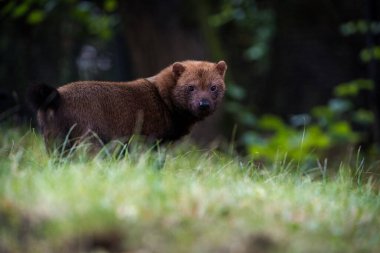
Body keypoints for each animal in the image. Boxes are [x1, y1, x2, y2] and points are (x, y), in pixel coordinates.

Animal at [29, 60, 229, 151]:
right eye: (191, 87)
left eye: (213, 87)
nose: (204, 104)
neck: (161, 98)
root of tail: (56, 96)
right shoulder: (147, 141)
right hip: (88, 140)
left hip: (54, 141)